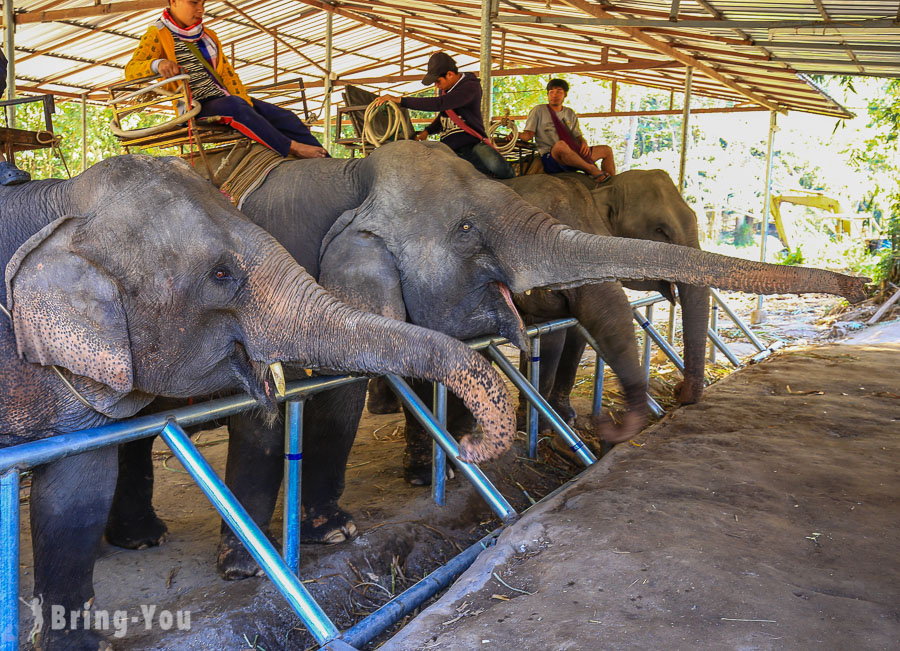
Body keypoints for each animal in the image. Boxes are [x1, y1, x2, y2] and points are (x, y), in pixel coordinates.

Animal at [0, 154, 520, 651]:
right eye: (221, 274)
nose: (468, 445)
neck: (63, 202)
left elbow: (76, 489)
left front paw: (325, 541)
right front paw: (248, 570)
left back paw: (142, 539)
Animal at [109, 141, 868, 580]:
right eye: (470, 228)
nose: (862, 287)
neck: (350, 176)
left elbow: (342, 399)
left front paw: (335, 530)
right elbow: (268, 411)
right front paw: (243, 567)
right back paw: (140, 540)